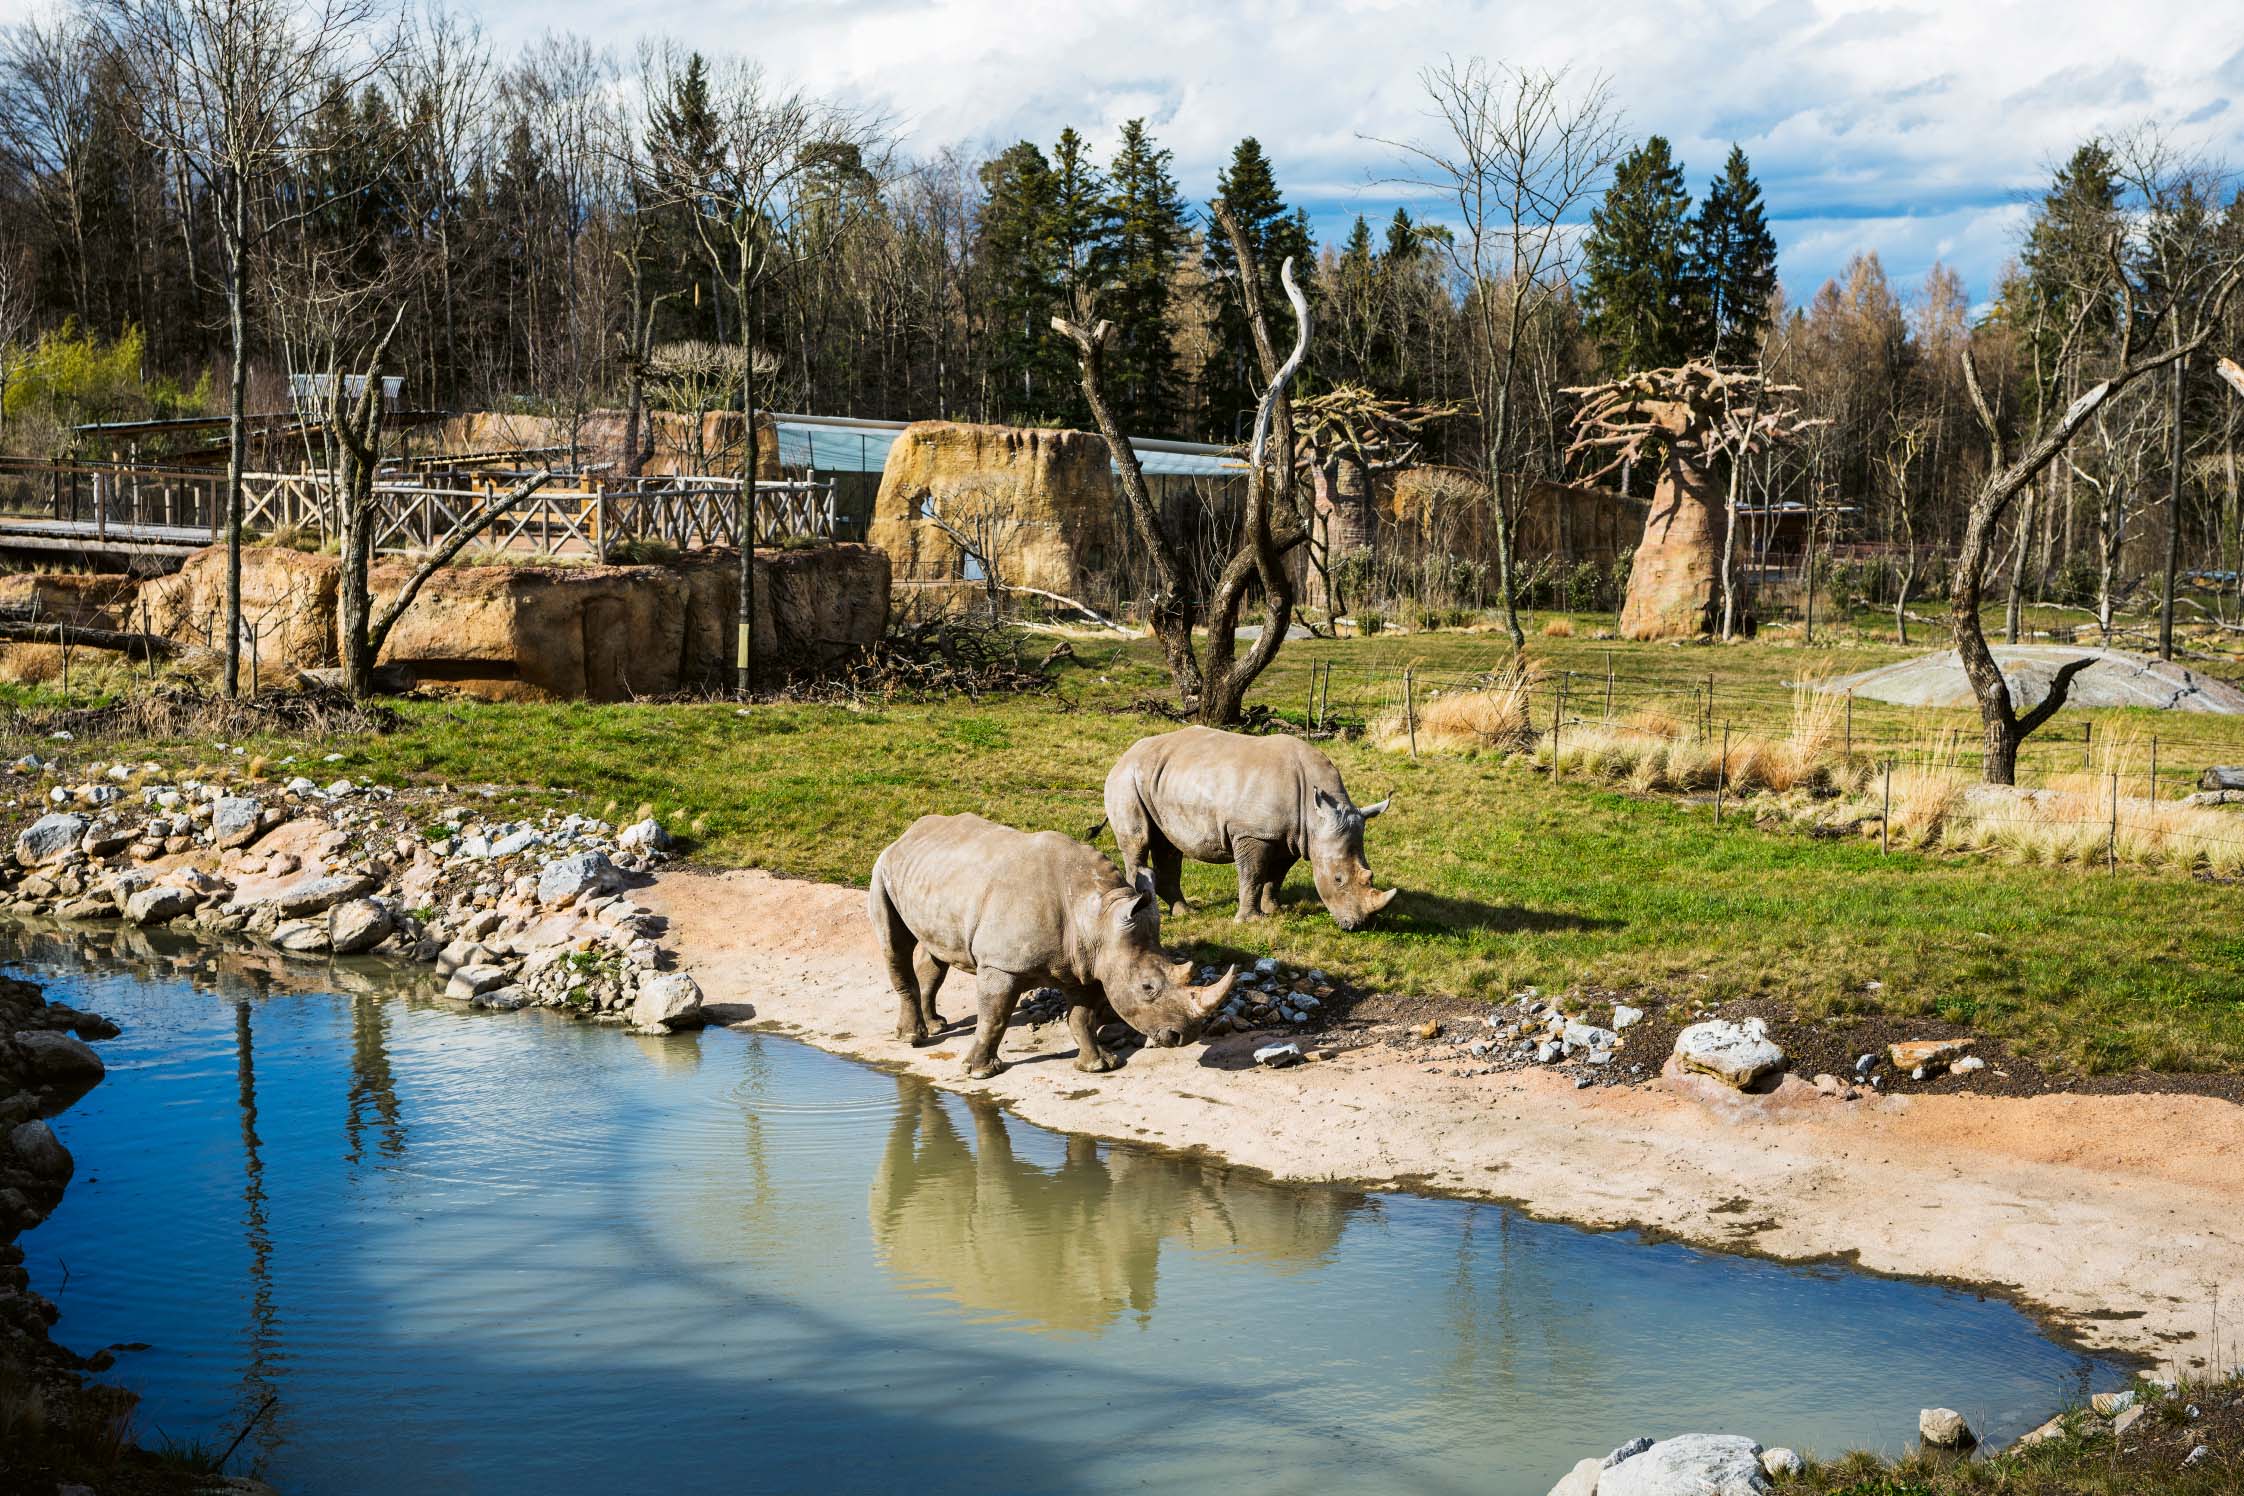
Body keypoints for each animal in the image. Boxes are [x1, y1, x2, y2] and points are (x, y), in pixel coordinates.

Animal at [868, 813, 1238, 1079]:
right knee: (895, 947)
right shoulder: (1001, 964)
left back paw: (936, 1025)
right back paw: (913, 1038)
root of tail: (906, 835)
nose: (1183, 1037)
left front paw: (1100, 1066)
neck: (1099, 917)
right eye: (1147, 988)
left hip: (934, 878)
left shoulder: (1086, 963)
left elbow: (1082, 1017)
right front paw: (980, 1073)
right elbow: (994, 1017)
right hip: (882, 869)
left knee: (937, 954)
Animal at [1104, 726, 1397, 929]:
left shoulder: (1291, 837)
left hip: (1161, 778)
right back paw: (1140, 911)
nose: (1359, 925)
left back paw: (1186, 913)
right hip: (1126, 779)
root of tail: (1125, 754)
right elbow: (1253, 875)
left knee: (1168, 845)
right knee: (1138, 843)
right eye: (1338, 879)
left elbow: (1276, 876)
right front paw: (1250, 921)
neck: (1314, 815)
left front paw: (1276, 910)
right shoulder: (1253, 833)